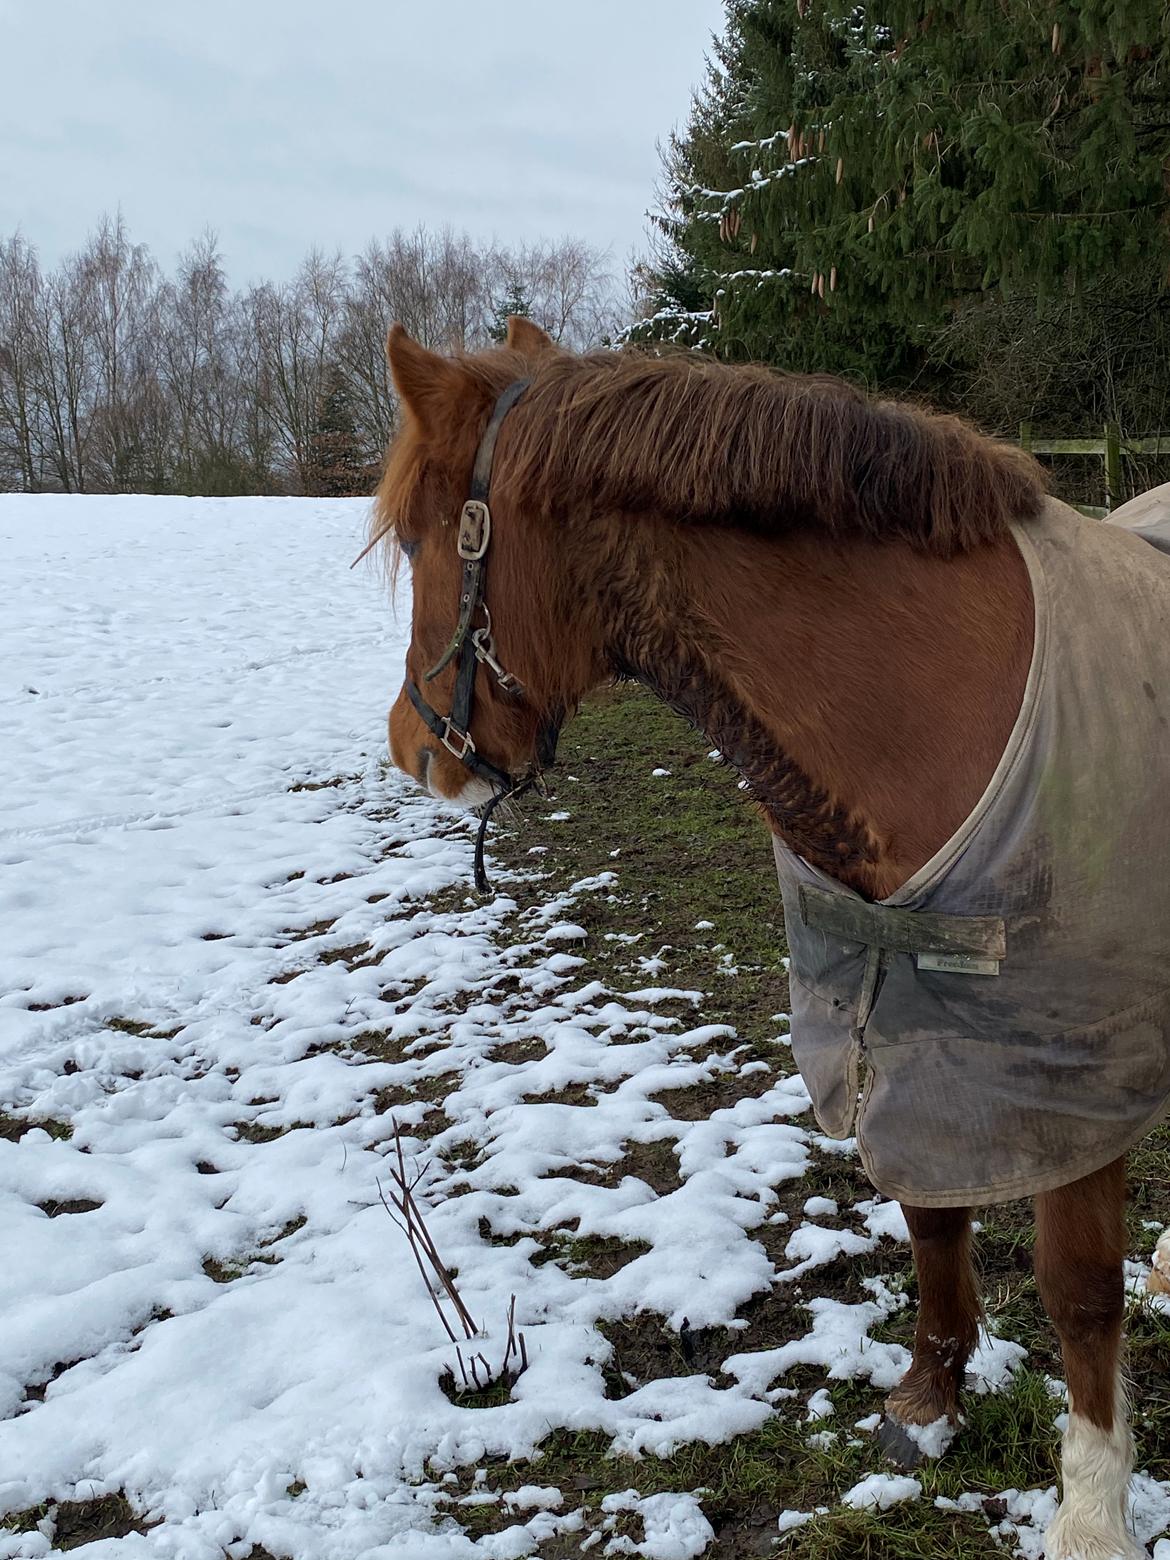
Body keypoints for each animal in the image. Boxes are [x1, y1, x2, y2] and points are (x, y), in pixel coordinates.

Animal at [375, 316, 1170, 1560]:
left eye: (421, 539)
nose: (416, 749)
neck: (949, 701)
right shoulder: (907, 1023)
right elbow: (928, 1215)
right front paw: (929, 1404)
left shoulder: (1074, 1071)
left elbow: (1080, 1289)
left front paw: (1091, 1515)